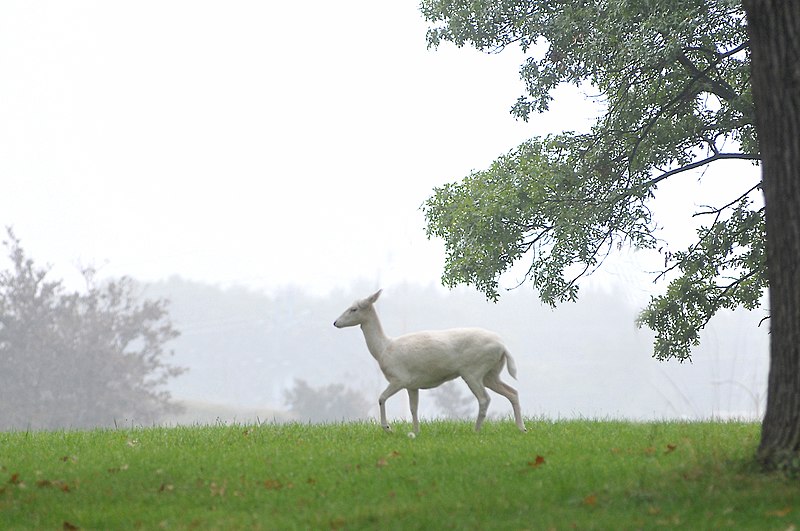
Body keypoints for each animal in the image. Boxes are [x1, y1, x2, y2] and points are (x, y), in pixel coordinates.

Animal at [333, 289, 526, 434]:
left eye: (353, 309)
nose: (335, 322)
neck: (383, 349)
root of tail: (503, 347)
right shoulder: (412, 384)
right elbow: (413, 408)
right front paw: (415, 432)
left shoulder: (399, 378)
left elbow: (381, 398)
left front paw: (388, 428)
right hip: (491, 372)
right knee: (512, 392)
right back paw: (521, 428)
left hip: (473, 370)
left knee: (485, 398)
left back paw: (476, 430)